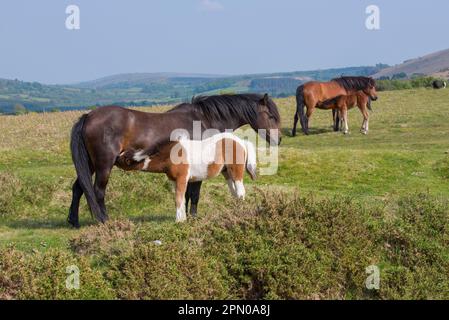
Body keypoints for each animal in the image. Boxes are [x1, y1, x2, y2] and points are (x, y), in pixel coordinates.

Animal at [115, 132, 256, 222]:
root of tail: (241, 141)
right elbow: (182, 199)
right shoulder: (174, 180)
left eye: (123, 158)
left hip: (236, 171)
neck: (171, 154)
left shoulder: (182, 178)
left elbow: (178, 198)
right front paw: (183, 218)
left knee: (241, 192)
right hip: (227, 173)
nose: (114, 157)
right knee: (235, 193)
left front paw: (178, 220)